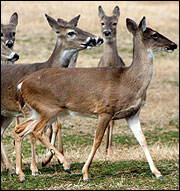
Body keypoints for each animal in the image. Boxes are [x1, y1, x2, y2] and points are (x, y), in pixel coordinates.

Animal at [1, 13, 102, 179]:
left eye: (79, 27)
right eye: (70, 32)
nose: (96, 39)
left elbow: (54, 126)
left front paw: (49, 160)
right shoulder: (30, 109)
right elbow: (33, 134)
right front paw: (35, 168)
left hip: (7, 114)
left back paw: (10, 168)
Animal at [14, 16, 177, 182]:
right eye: (155, 34)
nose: (173, 45)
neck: (128, 81)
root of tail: (22, 84)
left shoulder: (133, 114)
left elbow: (142, 139)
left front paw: (157, 172)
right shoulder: (105, 110)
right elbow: (97, 140)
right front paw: (85, 173)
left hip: (37, 111)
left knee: (20, 129)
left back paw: (22, 174)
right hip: (48, 108)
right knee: (36, 131)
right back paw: (64, 164)